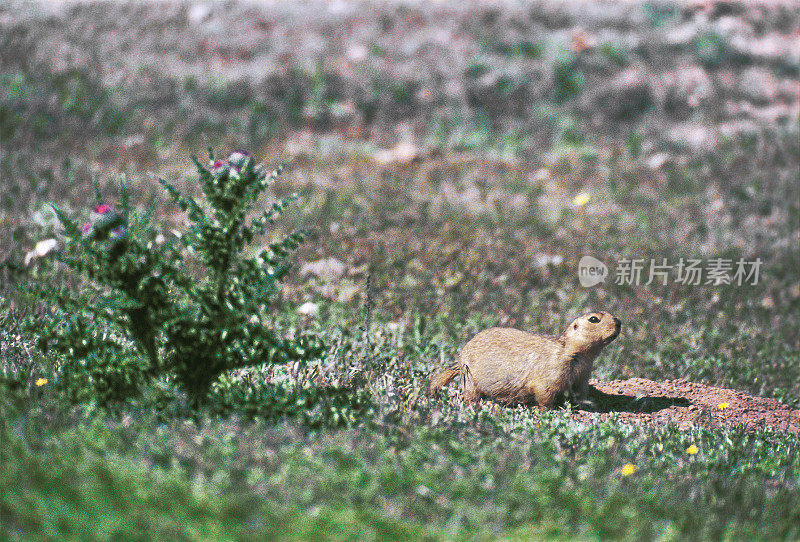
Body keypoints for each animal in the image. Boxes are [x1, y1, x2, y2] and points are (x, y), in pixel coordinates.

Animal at [428, 314, 620, 408]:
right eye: (594, 319)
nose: (619, 321)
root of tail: (459, 359)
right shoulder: (554, 368)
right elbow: (544, 390)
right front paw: (547, 409)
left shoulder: (584, 373)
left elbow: (580, 391)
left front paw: (587, 403)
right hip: (470, 380)